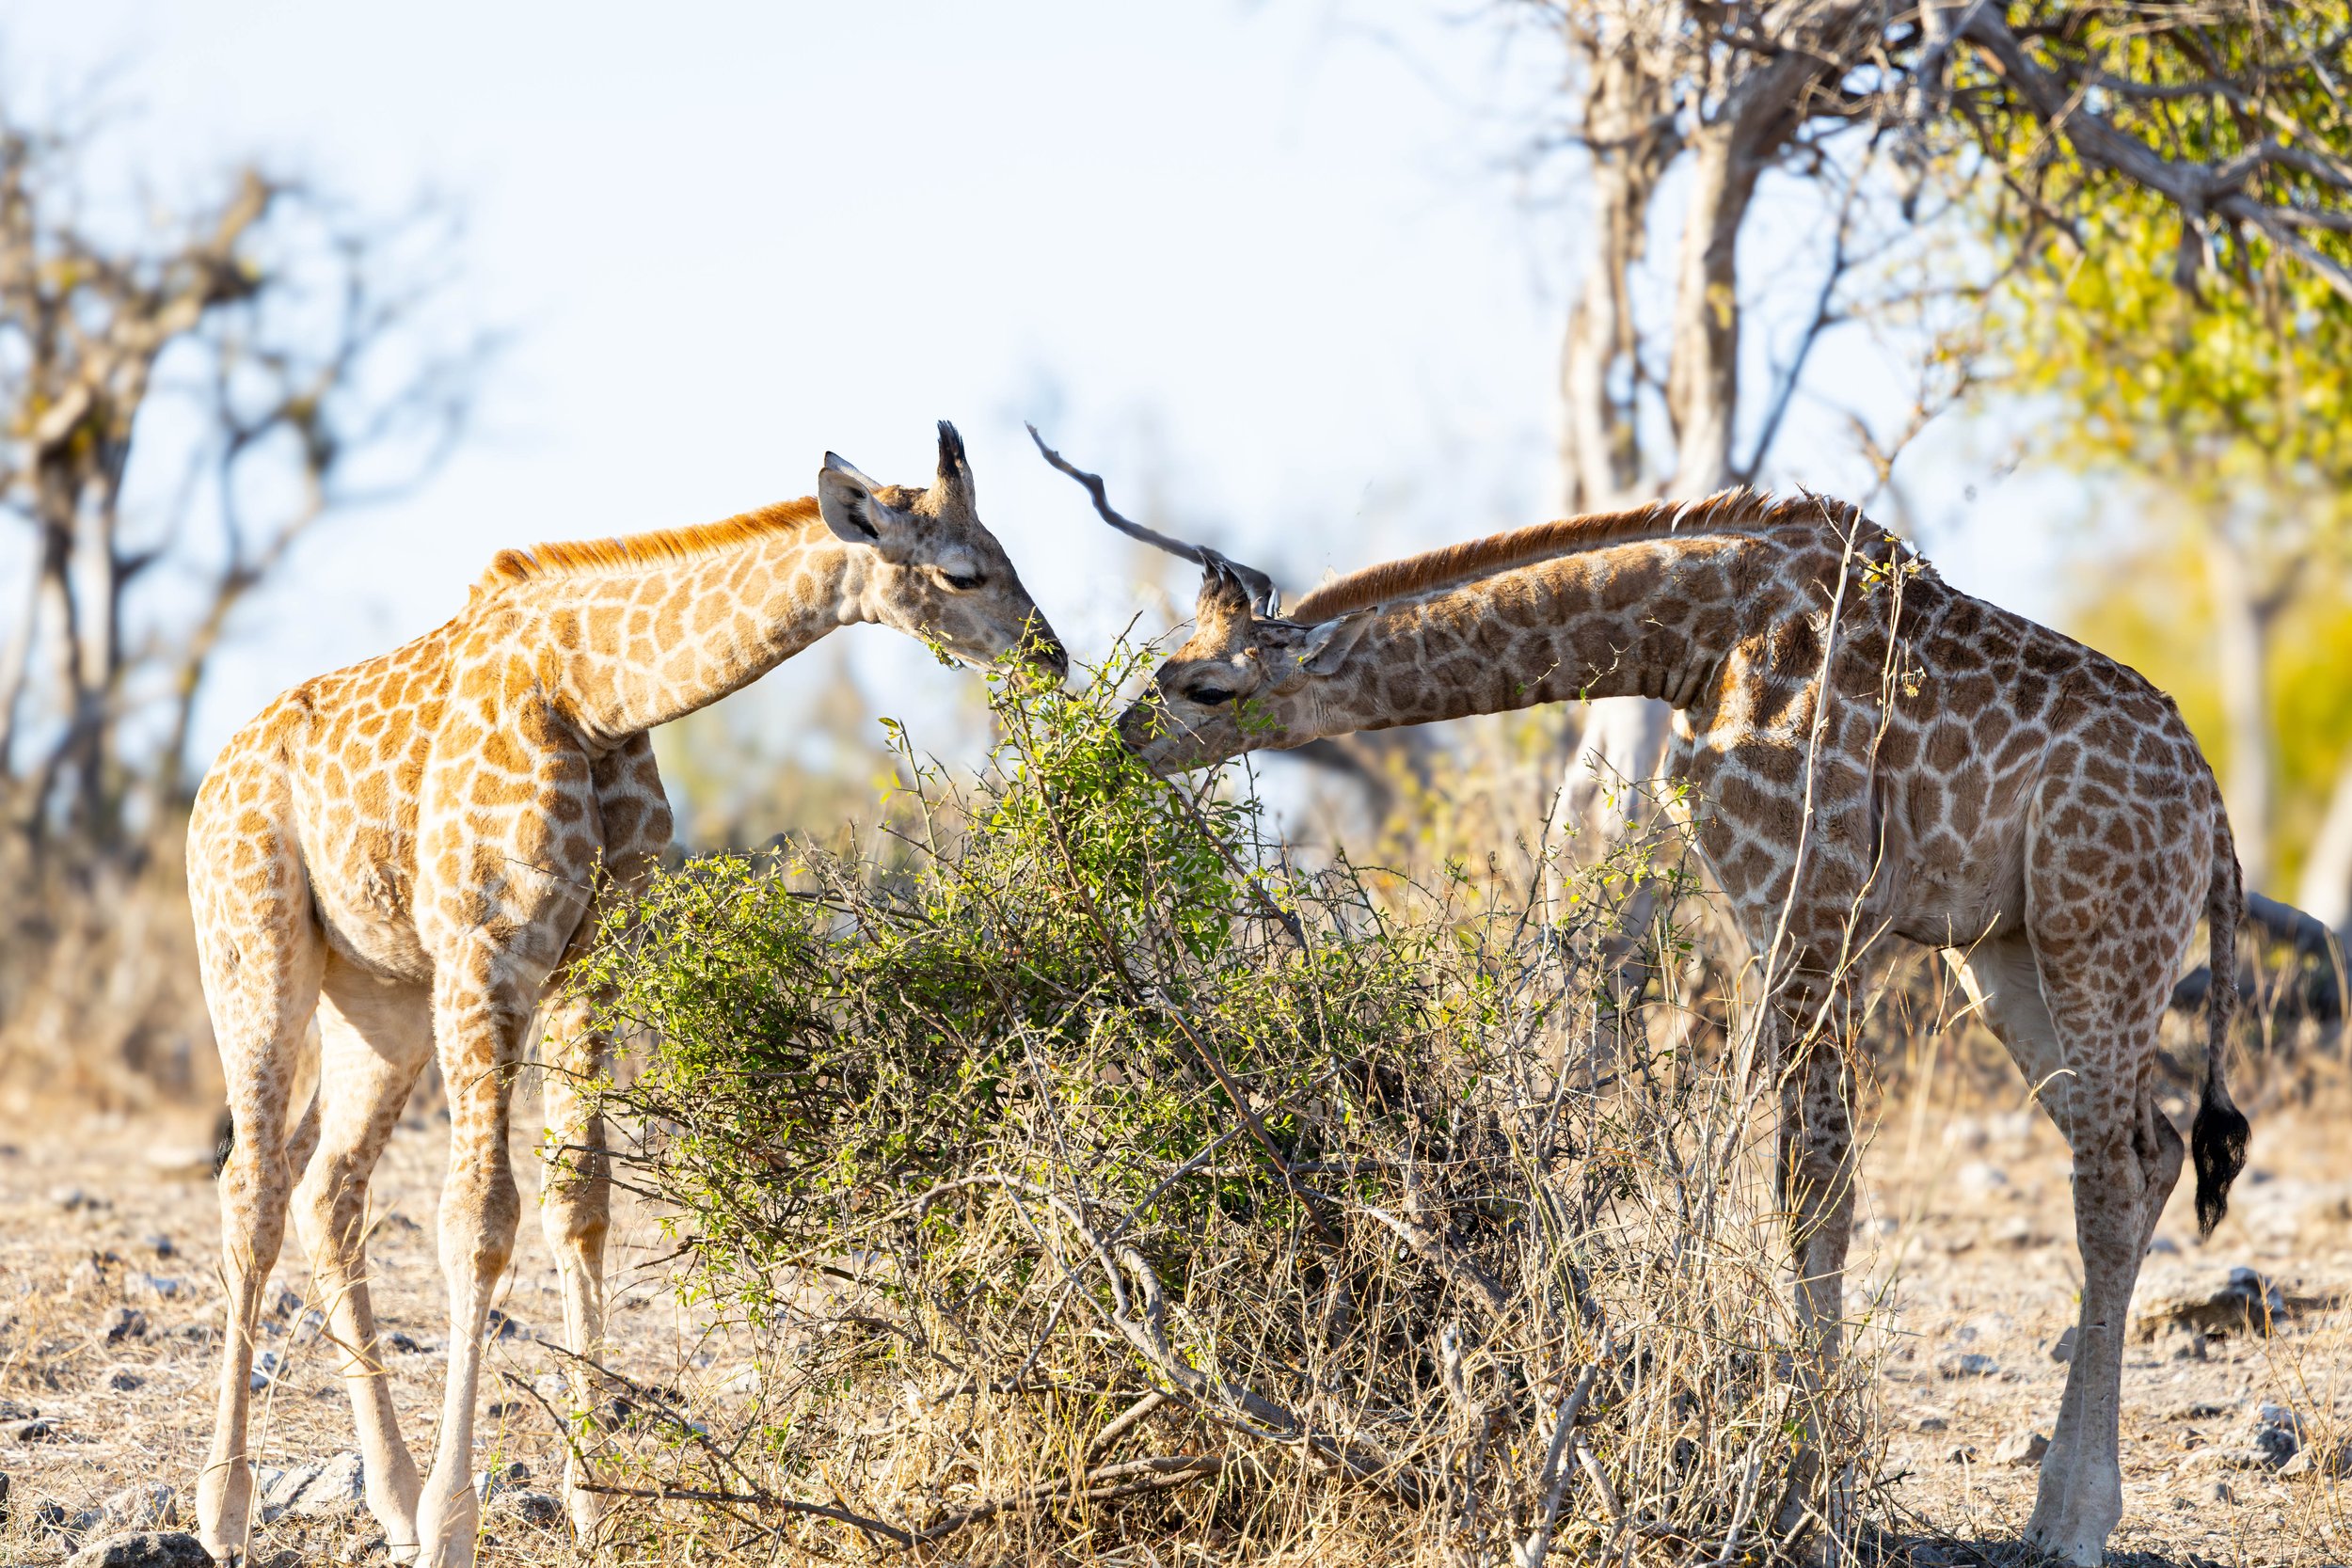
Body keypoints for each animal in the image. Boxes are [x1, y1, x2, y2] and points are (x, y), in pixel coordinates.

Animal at [188, 423, 1064, 1568]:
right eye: (962, 570)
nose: (1052, 657)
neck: (596, 692)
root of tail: (209, 783)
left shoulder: (593, 960)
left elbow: (582, 1200)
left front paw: (591, 1495)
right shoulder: (489, 949)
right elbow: (479, 1218)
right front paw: (458, 1523)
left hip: (380, 995)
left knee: (325, 1188)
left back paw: (391, 1493)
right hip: (256, 955)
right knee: (250, 1186)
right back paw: (227, 1508)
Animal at [1091, 484, 2247, 1565]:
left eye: (1203, 684)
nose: (1117, 743)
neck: (1690, 642)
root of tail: (2216, 817)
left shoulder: (1814, 900)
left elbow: (1814, 1187)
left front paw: (1807, 1509)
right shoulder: (1787, 909)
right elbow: (1789, 1180)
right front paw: (1804, 1494)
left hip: (2098, 931)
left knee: (2106, 1179)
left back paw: (2078, 1522)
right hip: (2004, 954)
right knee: (2148, 1150)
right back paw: (2056, 1509)